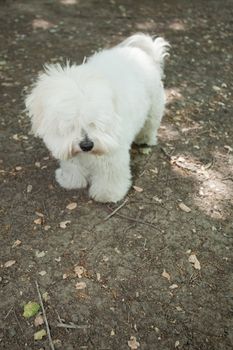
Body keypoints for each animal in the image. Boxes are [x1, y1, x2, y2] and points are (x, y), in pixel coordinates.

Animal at [26, 33, 169, 202]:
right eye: (70, 124)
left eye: (95, 122)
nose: (87, 145)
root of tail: (144, 54)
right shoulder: (66, 147)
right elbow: (72, 165)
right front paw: (71, 181)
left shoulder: (113, 153)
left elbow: (110, 173)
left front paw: (108, 193)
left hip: (154, 110)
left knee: (150, 126)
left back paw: (145, 139)